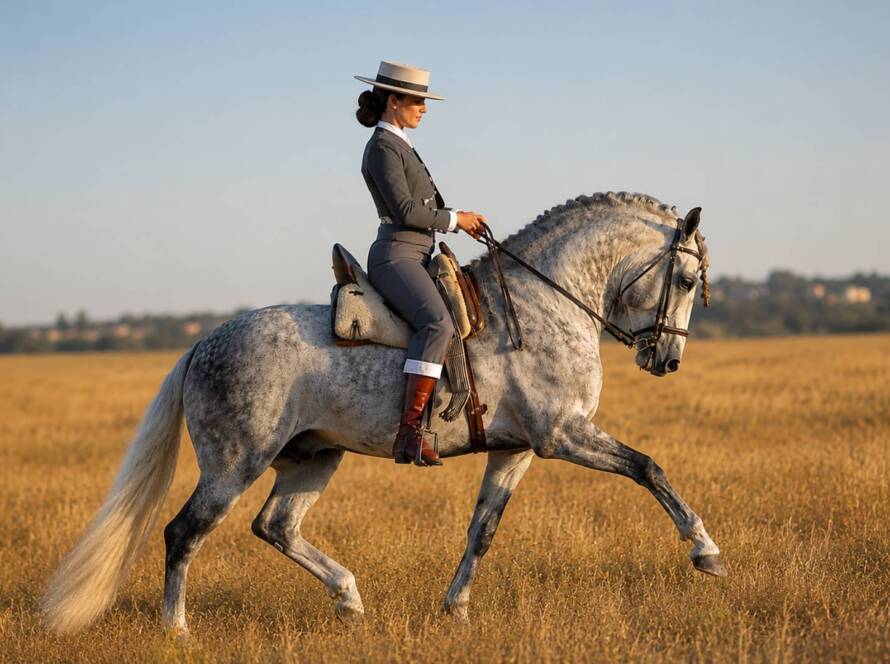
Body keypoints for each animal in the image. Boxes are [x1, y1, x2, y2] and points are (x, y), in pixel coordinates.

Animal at [42, 191, 725, 636]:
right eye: (687, 279)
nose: (666, 359)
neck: (541, 305)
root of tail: (202, 343)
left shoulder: (517, 449)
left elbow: (483, 530)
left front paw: (455, 611)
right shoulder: (563, 435)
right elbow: (649, 468)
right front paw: (705, 552)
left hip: (313, 458)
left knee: (275, 526)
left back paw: (349, 601)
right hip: (234, 465)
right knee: (184, 532)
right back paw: (177, 630)